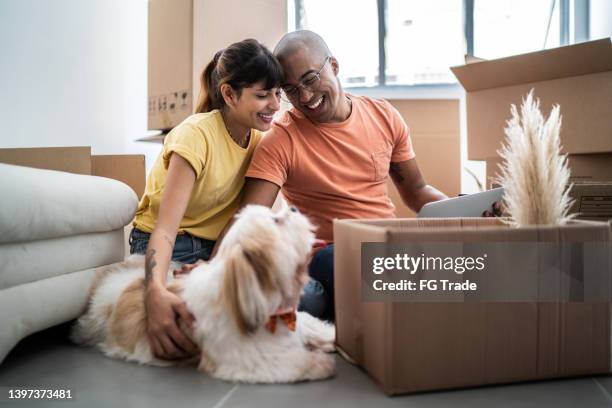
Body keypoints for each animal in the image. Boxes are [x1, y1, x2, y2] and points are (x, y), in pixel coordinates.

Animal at [75, 206, 340, 384]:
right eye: (276, 220)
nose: (293, 208)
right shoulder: (247, 359)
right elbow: (293, 362)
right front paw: (321, 362)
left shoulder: (296, 321)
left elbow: (312, 324)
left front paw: (331, 337)